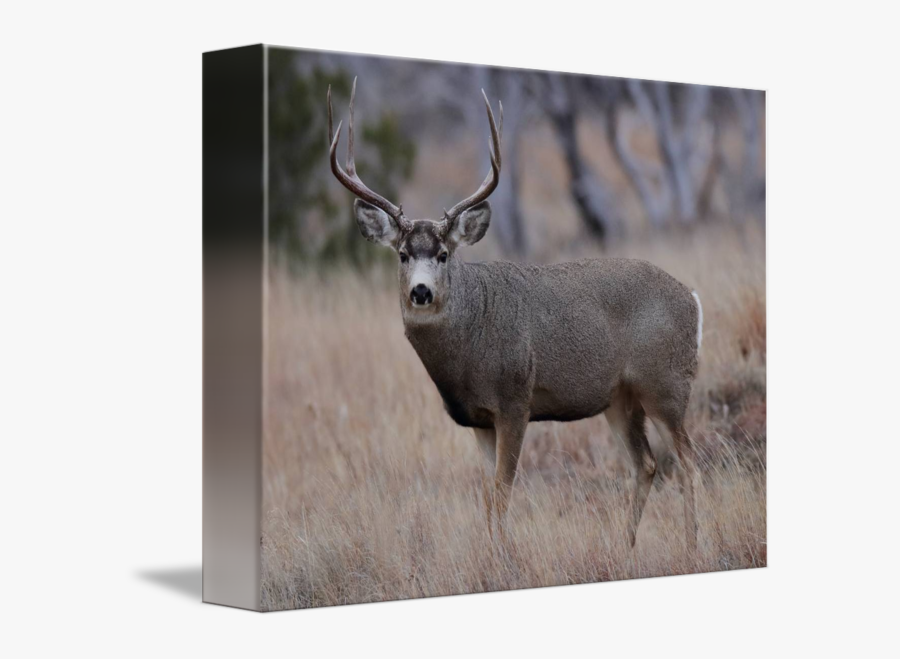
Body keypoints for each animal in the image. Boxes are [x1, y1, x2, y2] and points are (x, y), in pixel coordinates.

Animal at [326, 79, 704, 551]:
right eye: (402, 254)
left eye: (444, 254)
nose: (421, 291)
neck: (468, 351)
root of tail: (693, 300)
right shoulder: (478, 419)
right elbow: (488, 496)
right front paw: (490, 552)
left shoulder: (515, 400)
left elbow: (503, 491)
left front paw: (502, 556)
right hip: (619, 398)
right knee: (647, 464)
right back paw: (625, 546)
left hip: (666, 385)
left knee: (689, 462)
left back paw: (692, 546)